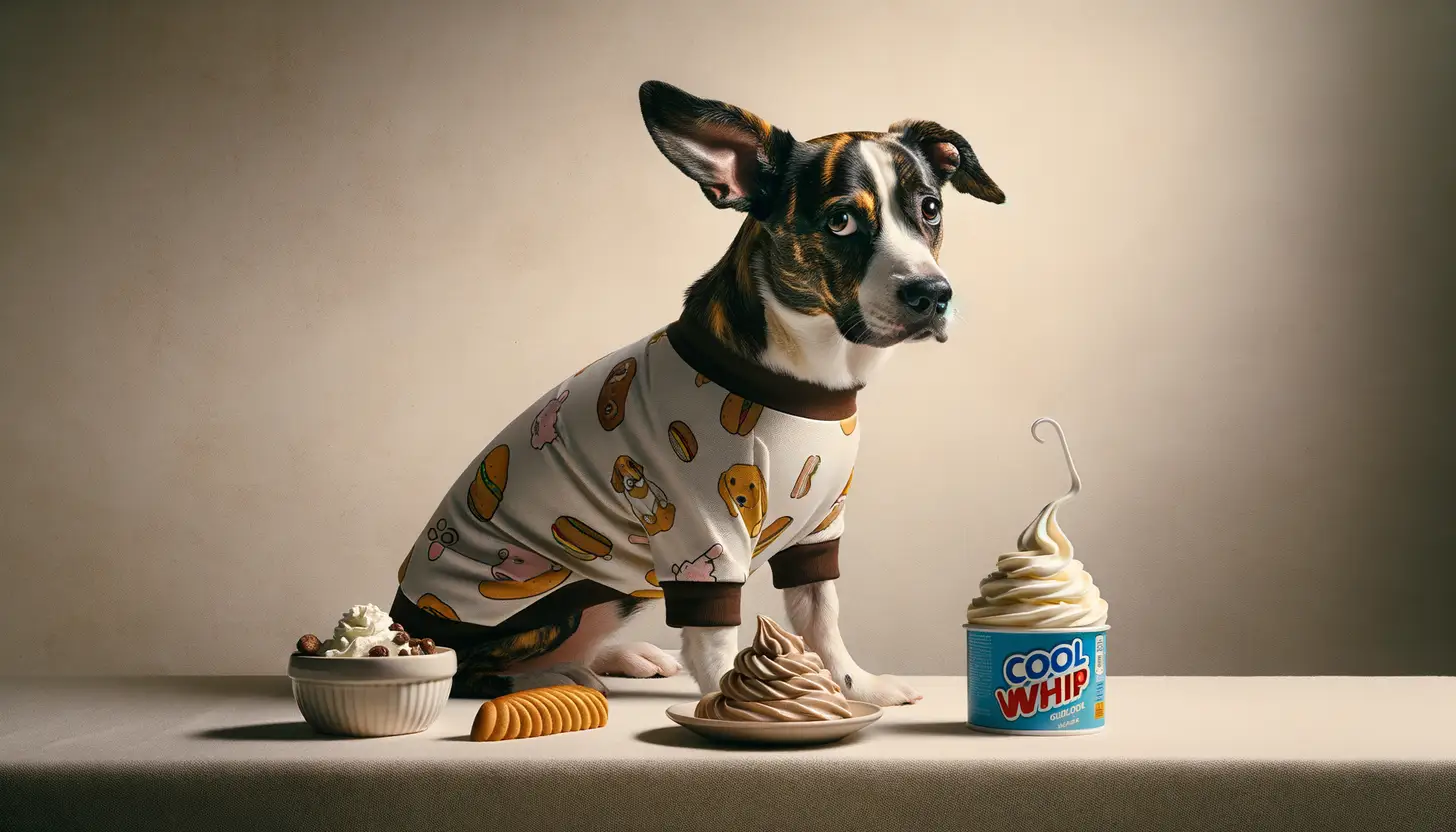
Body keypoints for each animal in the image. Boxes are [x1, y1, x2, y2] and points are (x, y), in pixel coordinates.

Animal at [387, 77, 1001, 705]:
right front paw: (730, 703)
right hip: (534, 597)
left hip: (613, 590)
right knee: (469, 671)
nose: (933, 293)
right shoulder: (704, 528)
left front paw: (858, 688)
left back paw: (620, 658)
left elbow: (822, 618)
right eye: (841, 222)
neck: (807, 371)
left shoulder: (818, 530)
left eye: (930, 208)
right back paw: (552, 678)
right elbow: (717, 635)